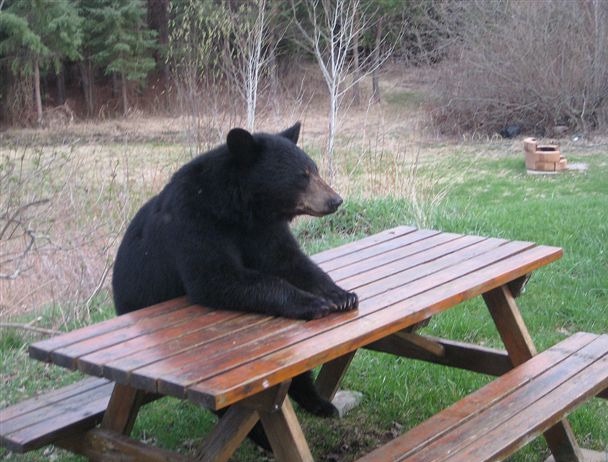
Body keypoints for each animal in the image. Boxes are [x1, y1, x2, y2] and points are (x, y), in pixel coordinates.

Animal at [112, 122, 358, 426]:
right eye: (302, 176)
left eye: (315, 169)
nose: (335, 200)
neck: (240, 209)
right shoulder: (193, 221)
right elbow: (217, 277)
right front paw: (314, 303)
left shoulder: (264, 229)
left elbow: (290, 261)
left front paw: (341, 295)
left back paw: (319, 403)